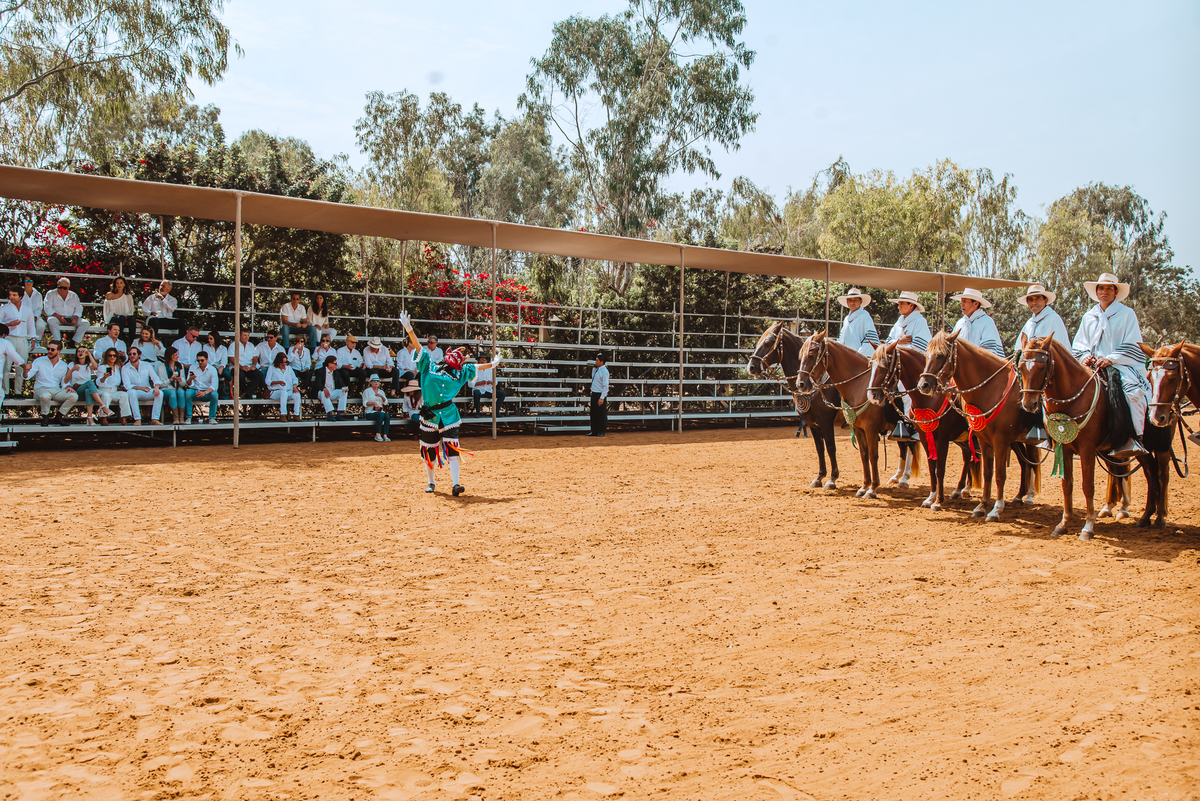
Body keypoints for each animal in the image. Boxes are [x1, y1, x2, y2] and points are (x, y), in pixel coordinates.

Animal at [748, 322, 843, 489]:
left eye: (768, 342)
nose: (751, 366)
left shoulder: (826, 421)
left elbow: (831, 447)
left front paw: (832, 479)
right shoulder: (812, 423)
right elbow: (820, 448)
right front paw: (819, 477)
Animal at [796, 331, 921, 499]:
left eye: (811, 355)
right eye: (800, 355)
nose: (800, 384)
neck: (859, 387)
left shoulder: (869, 429)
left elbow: (872, 455)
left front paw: (872, 489)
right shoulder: (858, 428)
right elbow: (864, 454)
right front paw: (864, 487)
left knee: (911, 448)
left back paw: (904, 480)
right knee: (904, 449)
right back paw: (897, 477)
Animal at [866, 340, 981, 511]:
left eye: (885, 364)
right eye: (871, 364)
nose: (872, 395)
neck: (931, 399)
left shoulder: (942, 439)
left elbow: (940, 469)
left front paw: (938, 501)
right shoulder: (925, 437)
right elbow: (932, 466)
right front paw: (930, 498)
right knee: (968, 457)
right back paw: (960, 489)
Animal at [917, 330, 1040, 522]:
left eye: (940, 355)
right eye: (926, 355)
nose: (923, 385)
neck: (993, 388)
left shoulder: (999, 441)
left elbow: (999, 474)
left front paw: (996, 510)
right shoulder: (983, 439)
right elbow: (987, 472)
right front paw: (982, 506)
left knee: (1030, 463)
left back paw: (1028, 497)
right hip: (1016, 441)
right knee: (1024, 463)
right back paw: (1020, 496)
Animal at [1018, 333, 1162, 540]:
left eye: (1042, 366)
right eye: (1021, 366)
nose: (1029, 403)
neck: (1072, 399)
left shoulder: (1087, 449)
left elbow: (1088, 486)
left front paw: (1088, 527)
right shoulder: (1065, 447)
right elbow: (1067, 484)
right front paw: (1063, 523)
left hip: (1149, 448)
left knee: (1153, 474)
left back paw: (1151, 516)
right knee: (1145, 472)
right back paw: (1141, 515)